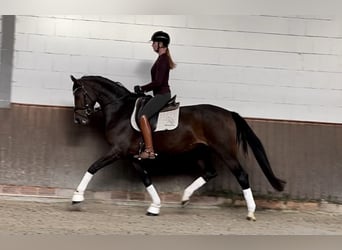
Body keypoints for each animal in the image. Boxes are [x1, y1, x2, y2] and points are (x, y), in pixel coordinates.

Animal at [70, 74, 286, 221]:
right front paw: (155, 207)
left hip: (224, 151)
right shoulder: (133, 156)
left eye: (79, 95)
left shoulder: (118, 150)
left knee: (241, 175)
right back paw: (185, 197)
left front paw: (77, 197)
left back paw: (250, 212)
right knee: (210, 172)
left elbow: (93, 167)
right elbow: (146, 179)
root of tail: (228, 113)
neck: (120, 110)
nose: (79, 120)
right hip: (200, 151)